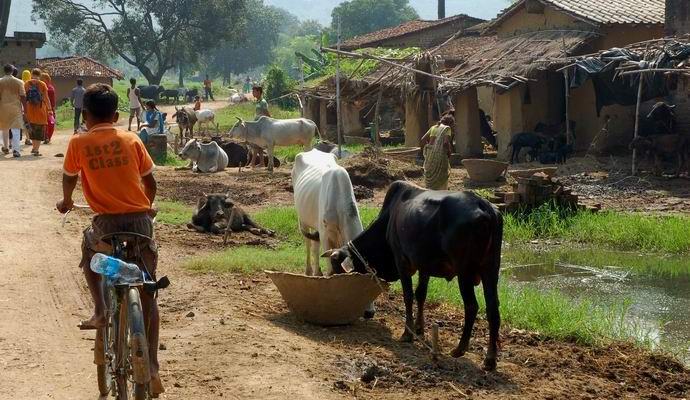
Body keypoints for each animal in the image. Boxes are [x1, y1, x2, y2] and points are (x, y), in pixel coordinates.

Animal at [292, 148, 374, 318]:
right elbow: (330, 269)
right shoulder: (325, 236)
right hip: (304, 221)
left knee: (314, 246)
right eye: (356, 278)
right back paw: (310, 271)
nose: (369, 313)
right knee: (309, 245)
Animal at [320, 181, 502, 372]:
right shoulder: (424, 265)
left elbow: (408, 296)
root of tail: (485, 206)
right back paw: (490, 359)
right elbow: (421, 294)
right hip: (491, 269)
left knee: (472, 306)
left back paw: (460, 349)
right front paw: (419, 328)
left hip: (464, 272)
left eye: (338, 271)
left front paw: (407, 333)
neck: (389, 219)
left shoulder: (401, 261)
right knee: (492, 309)